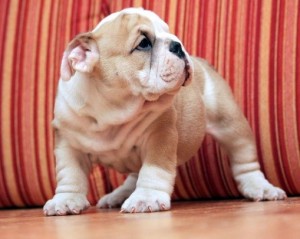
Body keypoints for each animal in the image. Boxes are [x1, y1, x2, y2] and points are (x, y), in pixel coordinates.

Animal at [44, 8, 286, 216]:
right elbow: (70, 174)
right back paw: (119, 195)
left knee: (244, 158)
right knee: (134, 173)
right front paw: (65, 199)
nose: (177, 44)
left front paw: (146, 198)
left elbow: (154, 169)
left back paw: (261, 187)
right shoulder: (68, 142)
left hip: (231, 124)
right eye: (143, 43)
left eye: (168, 31)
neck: (113, 109)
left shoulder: (160, 135)